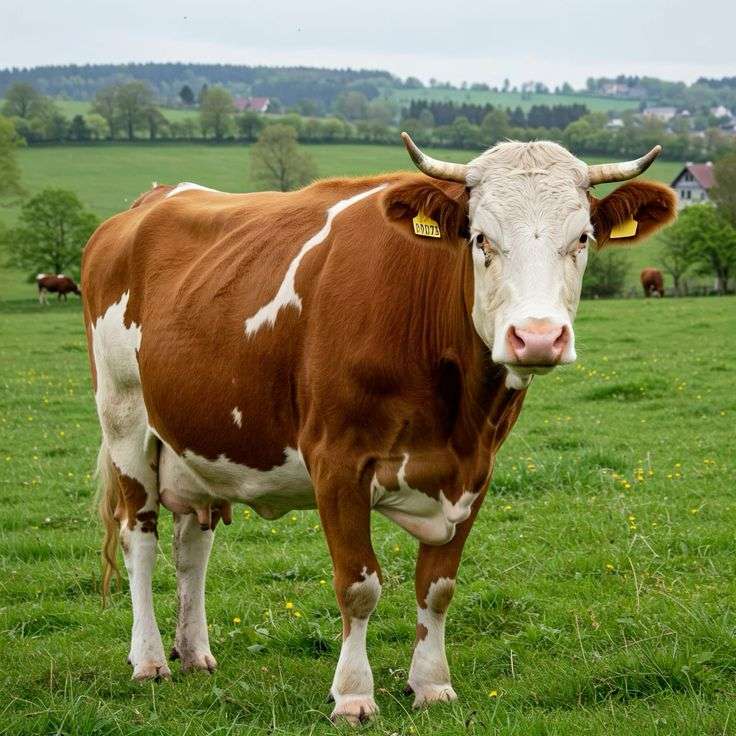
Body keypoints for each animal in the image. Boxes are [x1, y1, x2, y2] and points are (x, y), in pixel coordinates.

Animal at [81, 135, 676, 723]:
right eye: (481, 238)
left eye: (582, 238)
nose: (537, 338)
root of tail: (151, 199)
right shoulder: (337, 462)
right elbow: (358, 585)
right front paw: (352, 695)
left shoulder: (476, 471)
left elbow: (437, 588)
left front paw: (432, 684)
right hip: (125, 421)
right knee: (139, 538)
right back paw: (150, 659)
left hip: (195, 444)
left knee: (191, 548)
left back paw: (194, 652)